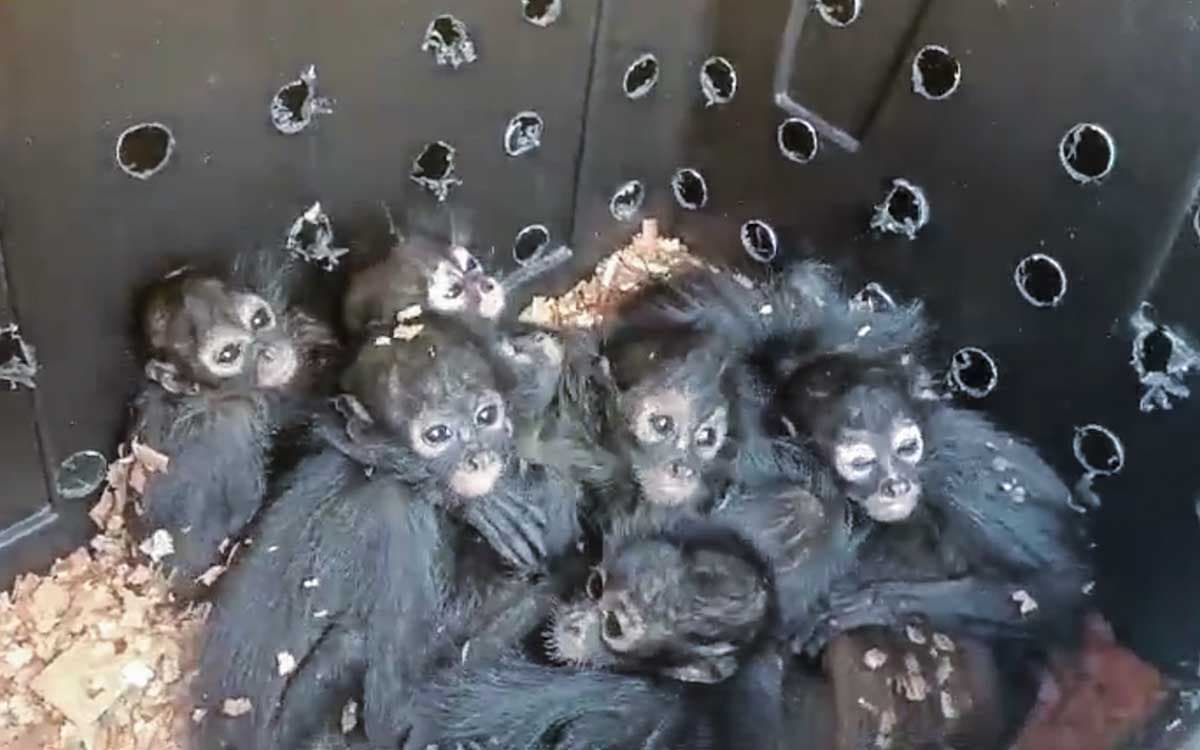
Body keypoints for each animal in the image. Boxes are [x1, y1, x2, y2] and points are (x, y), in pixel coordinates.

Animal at [193, 314, 583, 750]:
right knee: (352, 645)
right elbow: (396, 713)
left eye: (486, 416)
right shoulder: (401, 522)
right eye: (437, 435)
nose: (478, 458)